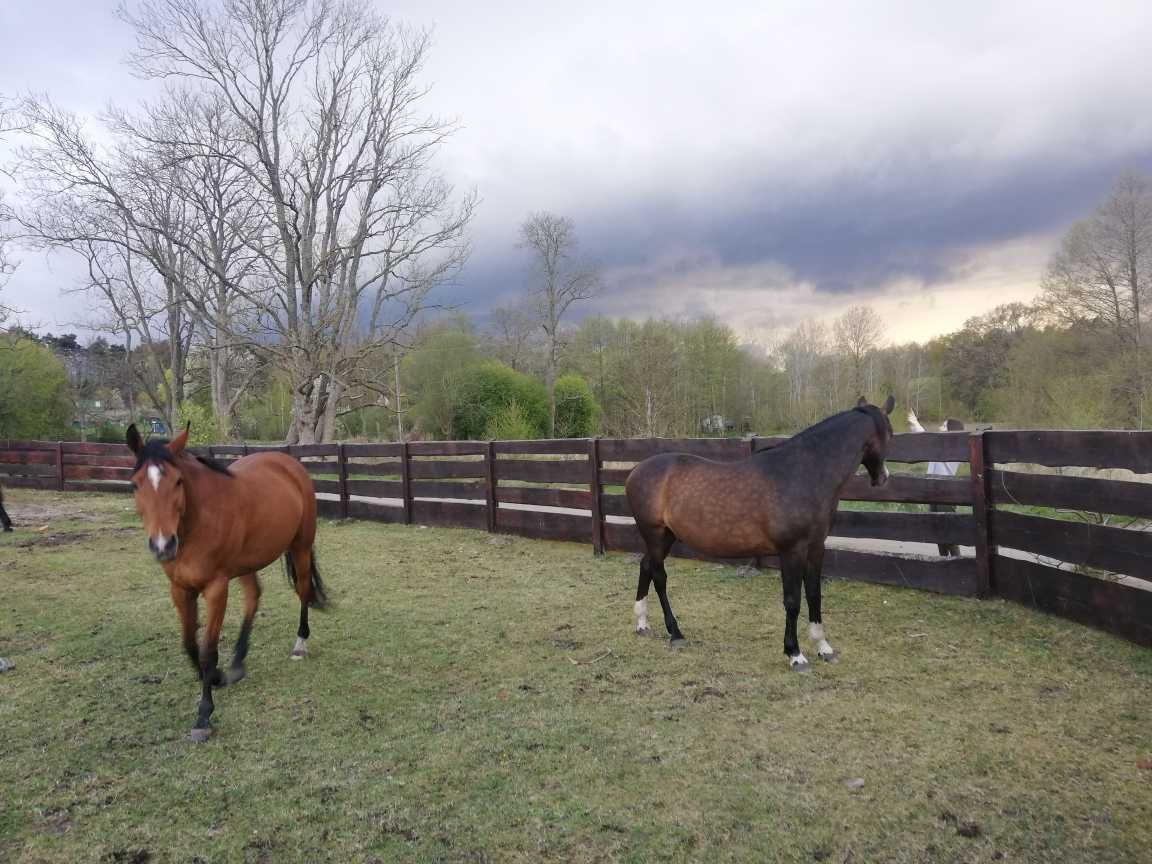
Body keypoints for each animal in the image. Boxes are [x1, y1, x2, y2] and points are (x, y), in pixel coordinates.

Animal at [127, 426, 327, 746]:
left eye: (178, 481)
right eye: (135, 484)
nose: (163, 545)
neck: (197, 523)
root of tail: (289, 463)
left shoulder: (216, 588)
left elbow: (208, 650)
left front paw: (203, 716)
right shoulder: (180, 589)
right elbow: (189, 644)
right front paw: (217, 677)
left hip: (301, 547)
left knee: (304, 590)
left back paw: (300, 644)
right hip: (246, 563)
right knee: (254, 597)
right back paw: (238, 661)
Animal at [626, 396, 893, 672]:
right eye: (890, 434)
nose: (883, 478)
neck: (803, 473)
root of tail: (636, 470)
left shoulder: (816, 547)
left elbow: (814, 595)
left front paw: (823, 647)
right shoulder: (791, 551)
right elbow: (793, 600)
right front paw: (795, 654)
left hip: (665, 536)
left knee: (646, 566)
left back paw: (642, 623)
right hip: (654, 534)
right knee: (659, 576)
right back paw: (675, 633)